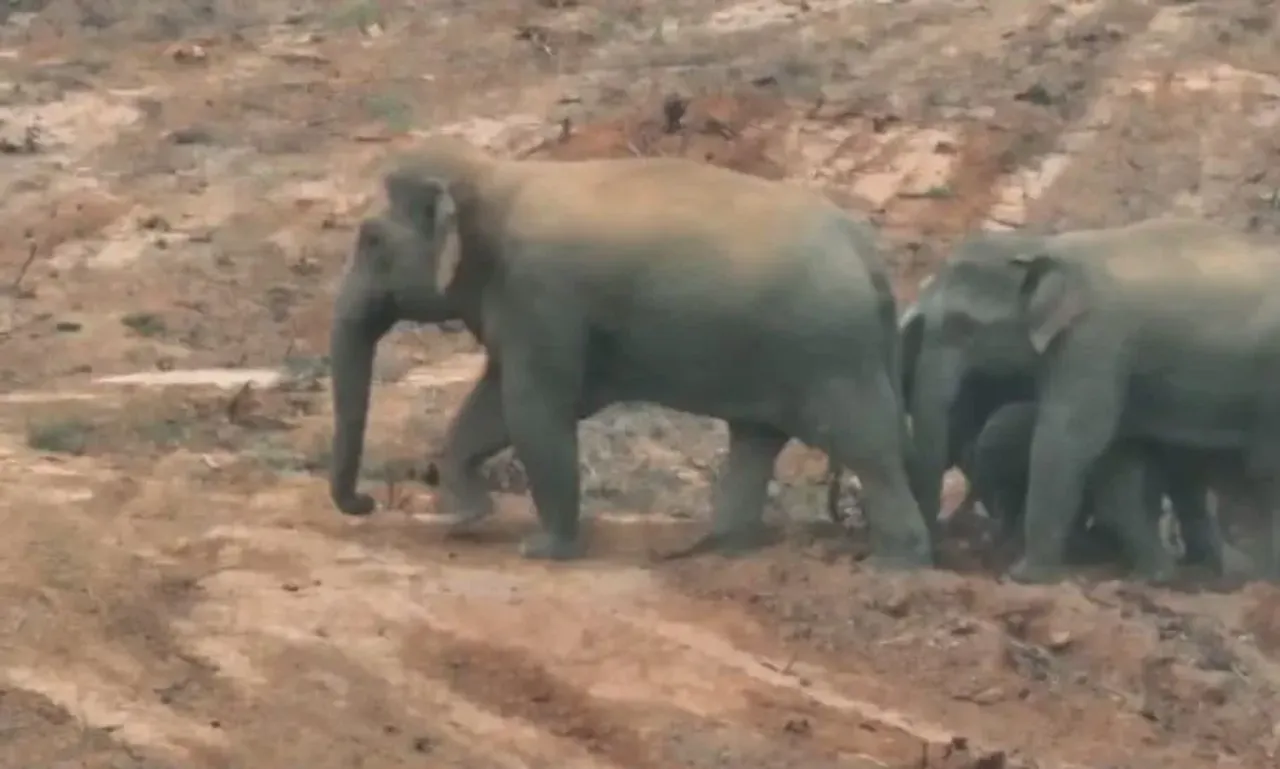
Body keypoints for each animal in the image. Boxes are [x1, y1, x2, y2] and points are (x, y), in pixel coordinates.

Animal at [328, 135, 933, 566]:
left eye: (370, 241)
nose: (367, 504)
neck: (493, 175)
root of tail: (870, 259)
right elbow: (493, 406)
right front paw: (468, 513)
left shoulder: (541, 295)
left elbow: (535, 408)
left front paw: (542, 550)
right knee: (758, 437)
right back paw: (711, 549)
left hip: (830, 355)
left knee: (868, 446)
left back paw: (894, 568)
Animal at [908, 217, 1280, 583]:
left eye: (962, 326)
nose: (941, 556)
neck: (1042, 244)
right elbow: (1117, 456)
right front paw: (1156, 575)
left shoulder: (1096, 340)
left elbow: (1068, 438)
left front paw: (1024, 575)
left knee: (1260, 475)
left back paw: (1256, 579)